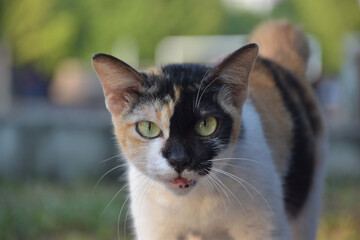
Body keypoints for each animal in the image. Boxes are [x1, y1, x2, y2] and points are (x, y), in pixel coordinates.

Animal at [92, 21, 326, 240]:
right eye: (148, 127)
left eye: (206, 125)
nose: (179, 160)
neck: (195, 201)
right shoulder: (155, 228)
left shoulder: (265, 227)